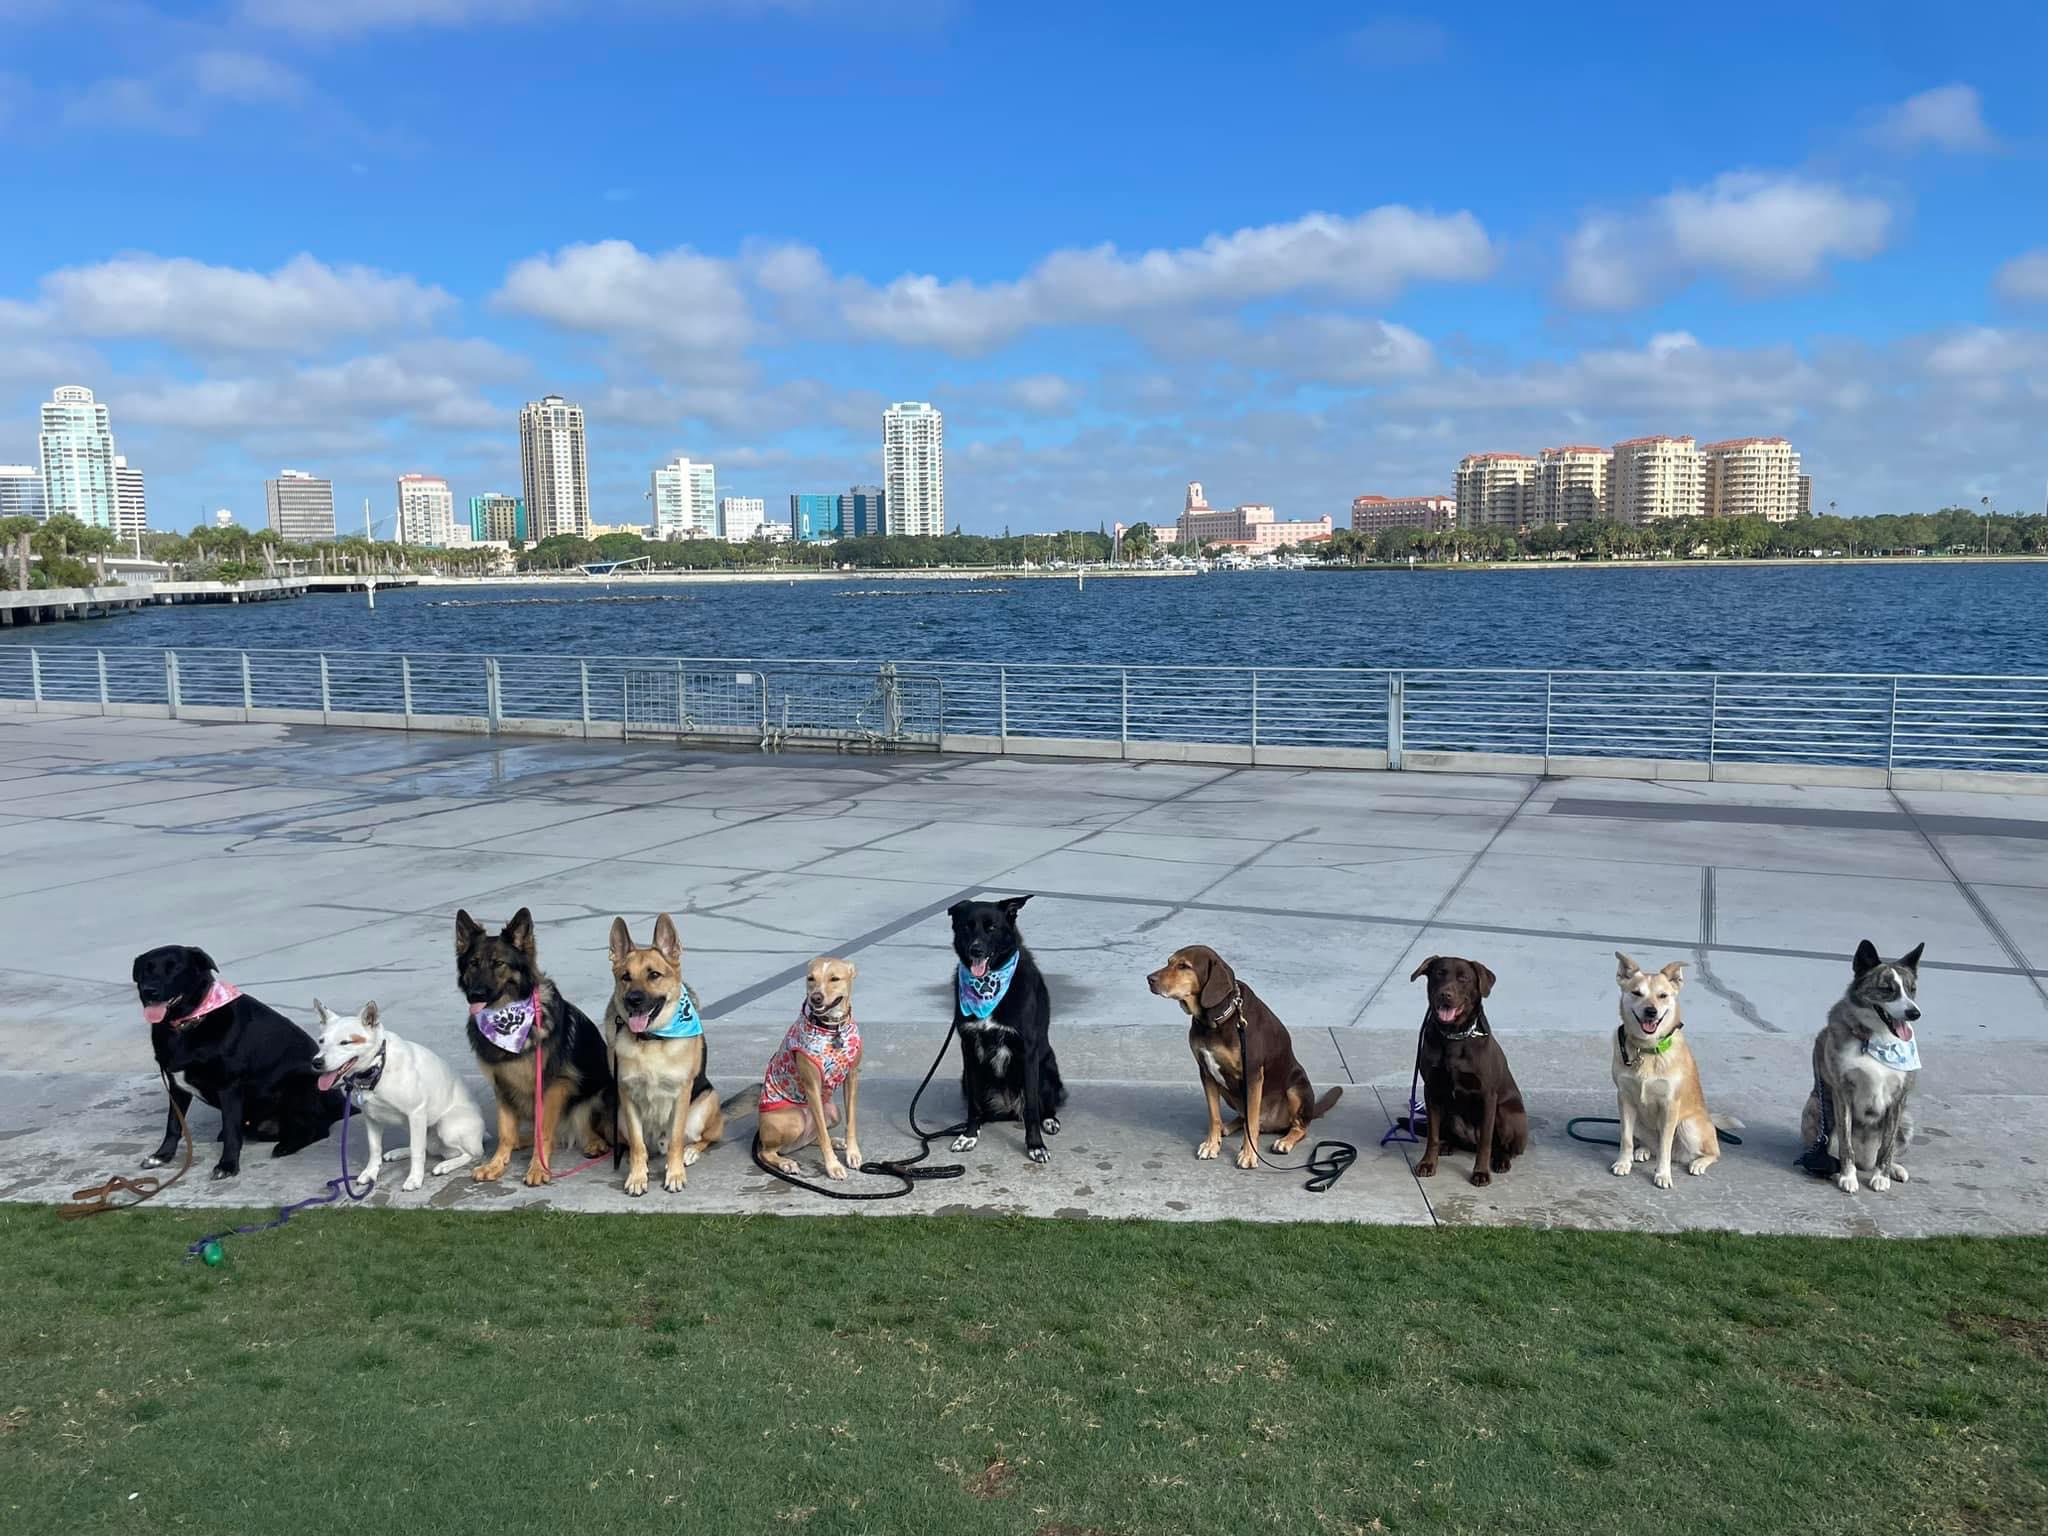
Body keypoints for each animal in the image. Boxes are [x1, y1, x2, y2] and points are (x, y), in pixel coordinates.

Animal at [311, 1003, 483, 1196]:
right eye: (321, 1041)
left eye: (345, 1042)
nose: (316, 1062)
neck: (377, 1067)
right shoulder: (371, 1117)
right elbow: (375, 1148)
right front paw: (371, 1172)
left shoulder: (416, 1113)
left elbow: (417, 1151)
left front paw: (415, 1178)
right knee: (426, 1146)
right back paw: (400, 1152)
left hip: (446, 1127)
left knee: (470, 1153)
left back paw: (446, 1165)